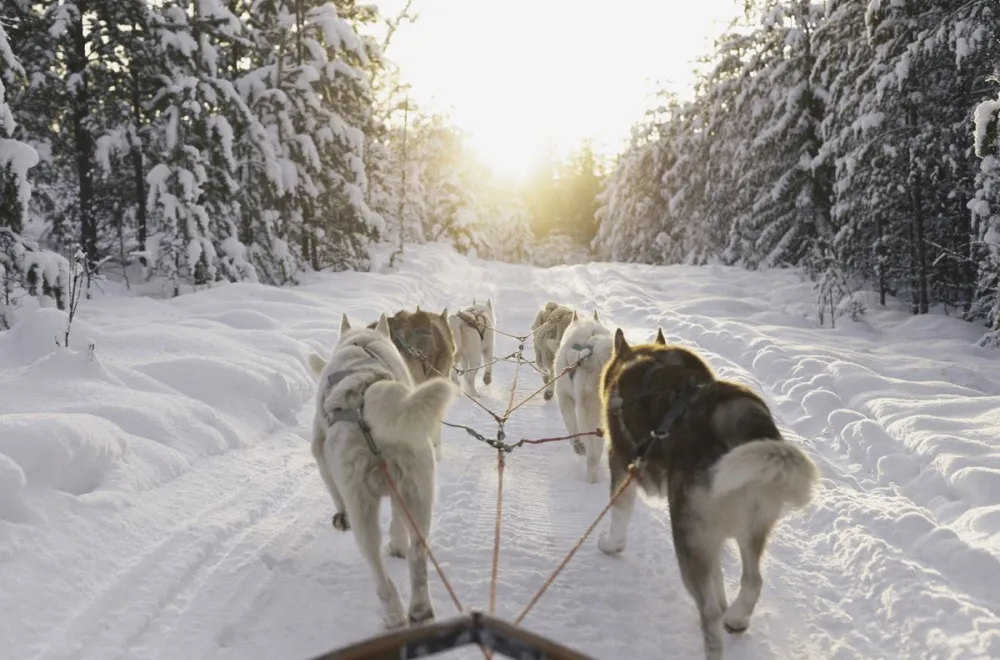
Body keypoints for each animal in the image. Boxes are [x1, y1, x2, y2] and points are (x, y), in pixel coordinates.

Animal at [306, 314, 458, 628]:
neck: (360, 342)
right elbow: (398, 525)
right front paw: (398, 545)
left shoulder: (320, 450)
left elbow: (332, 488)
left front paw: (339, 518)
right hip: (418, 494)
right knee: (418, 555)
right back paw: (420, 609)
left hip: (362, 507)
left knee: (378, 569)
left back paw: (394, 615)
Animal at [592, 328, 820, 656]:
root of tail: (737, 418)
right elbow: (719, 574)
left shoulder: (623, 462)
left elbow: (620, 513)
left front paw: (611, 545)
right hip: (750, 526)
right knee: (753, 580)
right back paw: (736, 618)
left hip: (687, 532)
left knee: (709, 612)